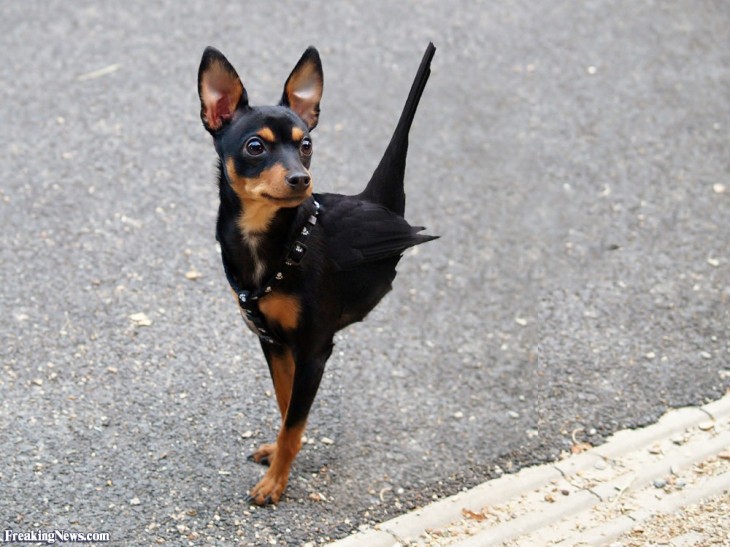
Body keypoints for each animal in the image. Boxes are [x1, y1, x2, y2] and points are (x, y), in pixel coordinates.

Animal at [196, 41, 436, 506]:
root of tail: (378, 203)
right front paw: (279, 456)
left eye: (306, 144)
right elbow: (286, 405)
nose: (300, 178)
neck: (270, 242)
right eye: (255, 147)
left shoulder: (314, 349)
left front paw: (276, 483)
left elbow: (294, 421)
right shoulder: (274, 344)